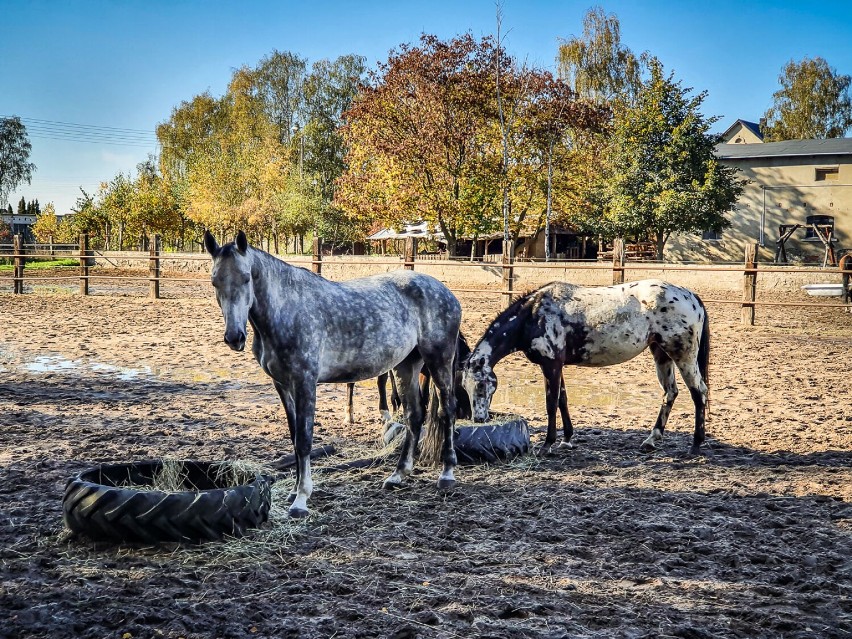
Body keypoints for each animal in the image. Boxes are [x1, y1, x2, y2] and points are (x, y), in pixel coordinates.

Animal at [204, 232, 462, 516]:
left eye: (246, 277)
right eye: (215, 281)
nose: (234, 337)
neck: (286, 310)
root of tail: (445, 292)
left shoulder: (305, 381)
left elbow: (304, 440)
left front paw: (301, 499)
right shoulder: (282, 384)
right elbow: (294, 437)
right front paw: (294, 491)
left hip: (439, 360)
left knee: (447, 410)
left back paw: (447, 474)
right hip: (407, 365)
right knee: (414, 416)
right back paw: (397, 475)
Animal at [462, 280, 708, 456]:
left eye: (481, 386)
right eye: (465, 387)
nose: (479, 419)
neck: (533, 315)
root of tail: (691, 296)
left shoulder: (551, 365)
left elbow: (551, 403)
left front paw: (547, 445)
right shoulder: (556, 366)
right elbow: (562, 400)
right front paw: (566, 440)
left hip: (683, 356)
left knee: (699, 393)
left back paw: (695, 445)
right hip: (661, 354)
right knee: (670, 393)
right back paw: (651, 439)